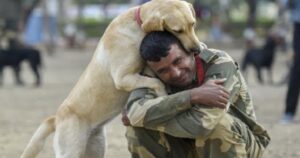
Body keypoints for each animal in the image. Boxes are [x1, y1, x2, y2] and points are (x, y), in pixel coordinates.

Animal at [21, 0, 202, 158]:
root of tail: (57, 118)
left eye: (193, 24)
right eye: (177, 30)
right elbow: (156, 82)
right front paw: (163, 95)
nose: (197, 50)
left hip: (96, 148)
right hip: (71, 151)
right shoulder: (122, 78)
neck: (137, 25)